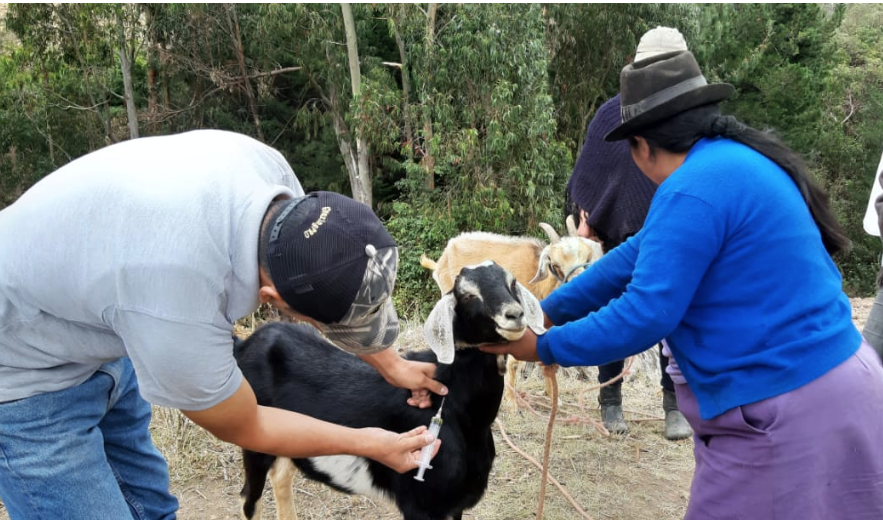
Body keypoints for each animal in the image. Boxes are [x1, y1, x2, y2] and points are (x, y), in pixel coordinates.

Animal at [418, 217, 604, 408]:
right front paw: (512, 400)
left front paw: (553, 397)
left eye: (587, 258)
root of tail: (443, 256)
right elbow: (514, 362)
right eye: (555, 264)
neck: (541, 286)